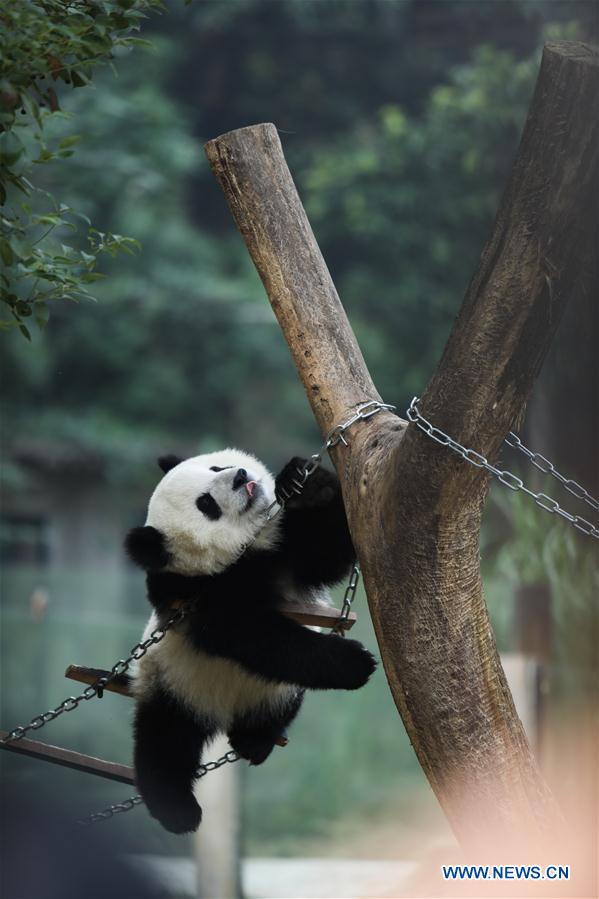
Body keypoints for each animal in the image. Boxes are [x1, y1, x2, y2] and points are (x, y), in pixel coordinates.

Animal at [125, 450, 378, 836]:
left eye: (215, 467)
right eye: (207, 504)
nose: (240, 476)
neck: (246, 554)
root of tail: (222, 714)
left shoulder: (284, 551)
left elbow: (325, 552)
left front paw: (305, 483)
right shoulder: (192, 593)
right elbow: (251, 634)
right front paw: (355, 663)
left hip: (275, 692)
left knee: (274, 707)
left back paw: (254, 741)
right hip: (168, 683)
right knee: (164, 744)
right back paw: (178, 811)